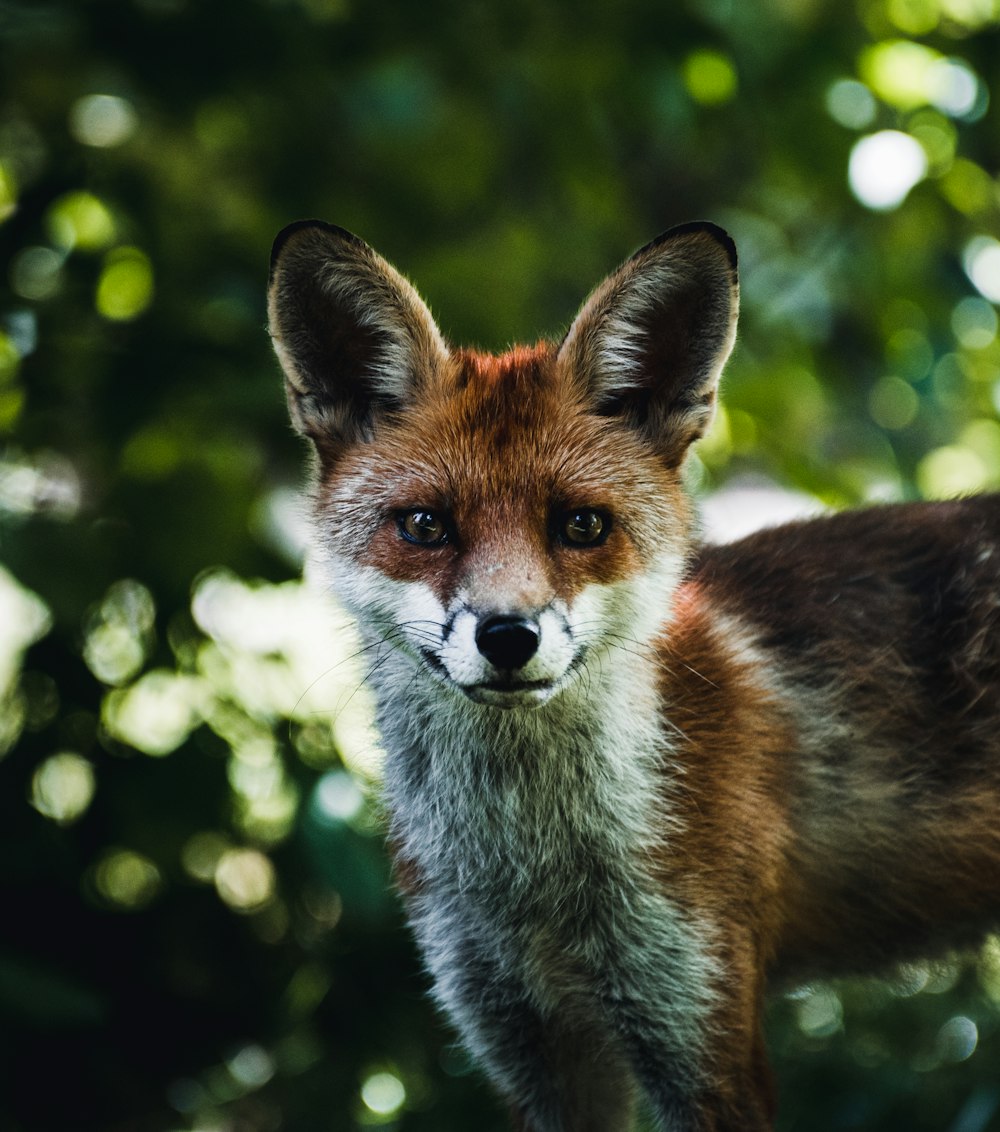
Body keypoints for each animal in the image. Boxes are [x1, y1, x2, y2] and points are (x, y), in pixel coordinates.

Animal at [266, 220, 1000, 1132]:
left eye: (581, 525)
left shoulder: (701, 1028)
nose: (508, 636)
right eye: (426, 525)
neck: (535, 874)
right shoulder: (528, 1046)